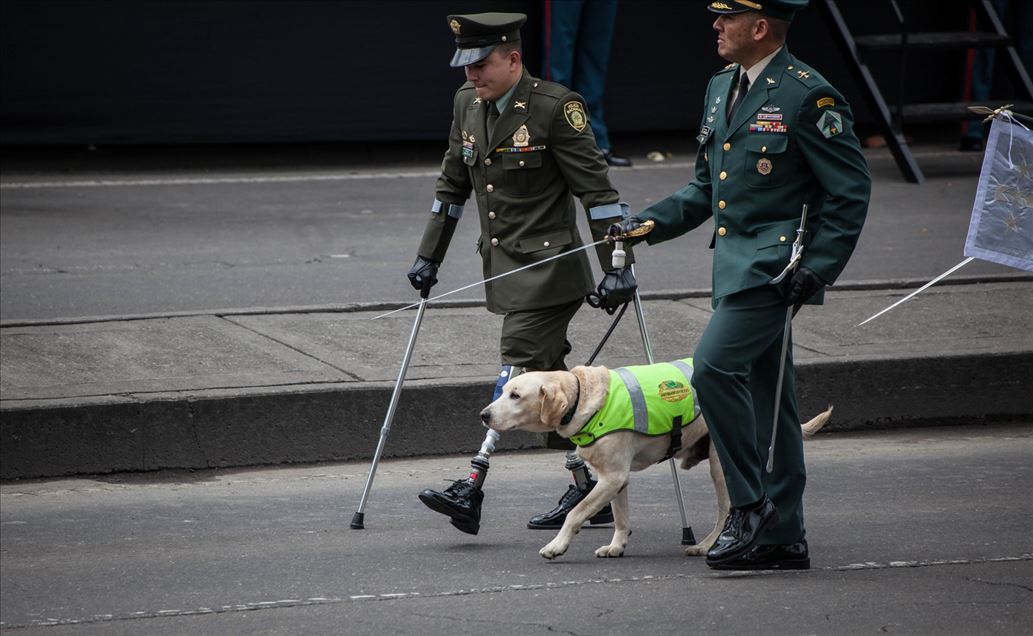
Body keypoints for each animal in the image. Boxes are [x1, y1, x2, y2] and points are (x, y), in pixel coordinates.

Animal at [481, 363, 830, 561]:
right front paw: (617, 545)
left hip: (721, 465)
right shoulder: (615, 479)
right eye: (505, 390)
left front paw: (557, 545)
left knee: (727, 511)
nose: (484, 414)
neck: (583, 397)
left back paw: (708, 546)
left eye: (515, 395)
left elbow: (576, 513)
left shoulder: (611, 477)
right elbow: (620, 518)